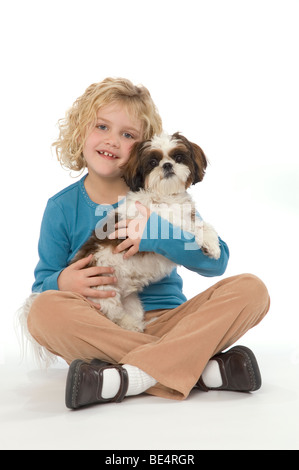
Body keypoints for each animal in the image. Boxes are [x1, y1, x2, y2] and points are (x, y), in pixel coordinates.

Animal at [70, 130, 220, 332]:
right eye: (153, 162)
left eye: (178, 157)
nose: (167, 165)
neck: (164, 197)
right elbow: (185, 228)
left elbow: (203, 225)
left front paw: (212, 245)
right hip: (103, 291)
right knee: (113, 316)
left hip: (132, 302)